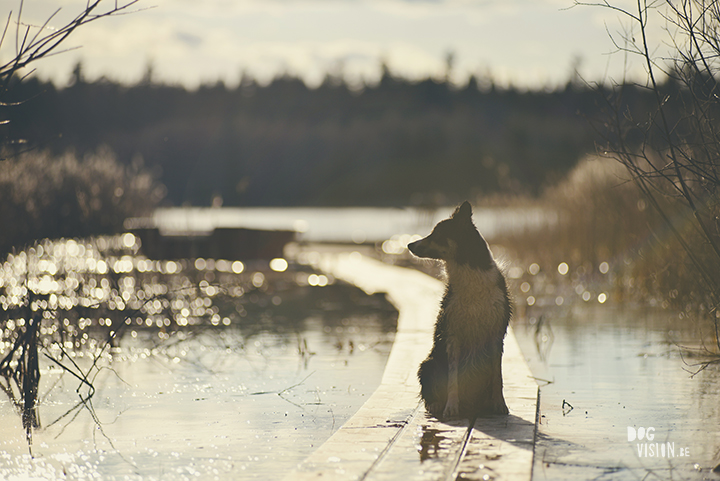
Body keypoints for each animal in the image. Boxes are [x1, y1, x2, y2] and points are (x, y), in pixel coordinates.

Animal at [408, 201, 510, 418]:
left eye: (437, 234)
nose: (409, 245)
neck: (470, 274)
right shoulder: (453, 335)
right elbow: (452, 378)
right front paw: (451, 407)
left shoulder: (496, 334)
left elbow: (497, 376)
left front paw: (499, 404)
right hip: (428, 363)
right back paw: (437, 404)